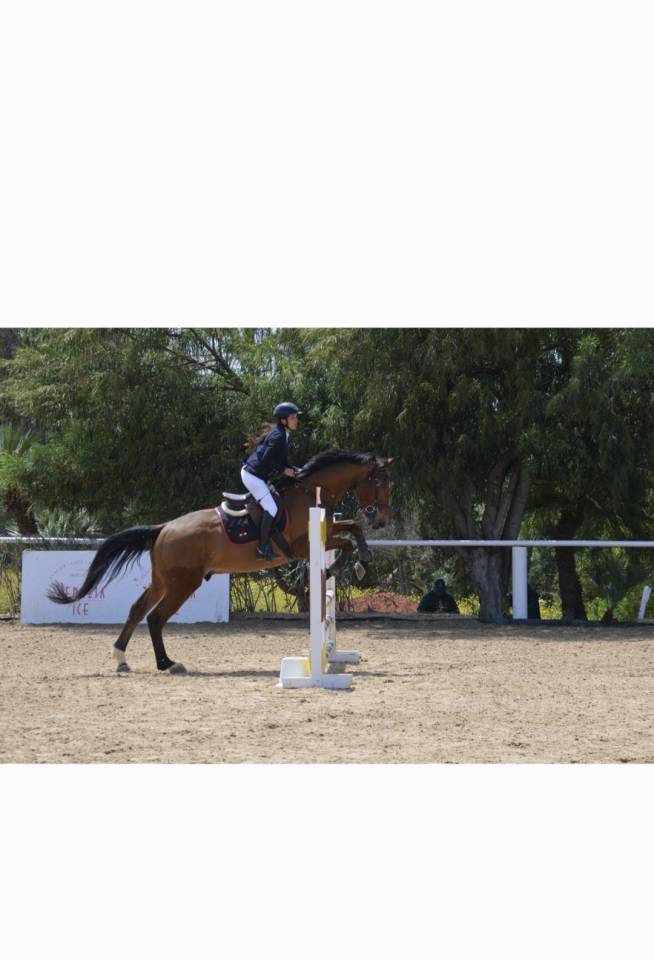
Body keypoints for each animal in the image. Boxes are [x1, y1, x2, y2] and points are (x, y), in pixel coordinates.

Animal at [46, 450, 394, 674]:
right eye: (380, 483)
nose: (381, 520)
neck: (308, 491)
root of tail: (163, 528)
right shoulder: (301, 546)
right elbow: (347, 539)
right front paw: (350, 564)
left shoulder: (326, 529)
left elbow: (351, 527)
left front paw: (360, 560)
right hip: (184, 584)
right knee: (156, 617)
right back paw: (167, 664)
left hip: (163, 581)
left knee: (137, 609)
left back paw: (121, 658)